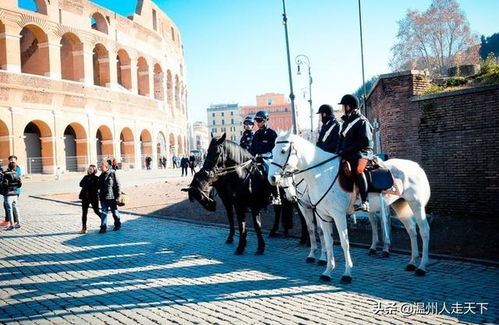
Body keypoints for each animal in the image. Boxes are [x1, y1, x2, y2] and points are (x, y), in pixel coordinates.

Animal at [272, 131, 432, 280]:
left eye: (283, 151)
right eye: (272, 150)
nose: (273, 177)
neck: (320, 175)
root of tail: (416, 166)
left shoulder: (338, 215)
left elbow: (344, 242)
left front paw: (347, 273)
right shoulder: (322, 215)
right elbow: (327, 240)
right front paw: (327, 271)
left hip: (416, 204)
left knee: (424, 231)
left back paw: (422, 267)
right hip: (399, 204)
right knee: (411, 230)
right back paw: (412, 262)